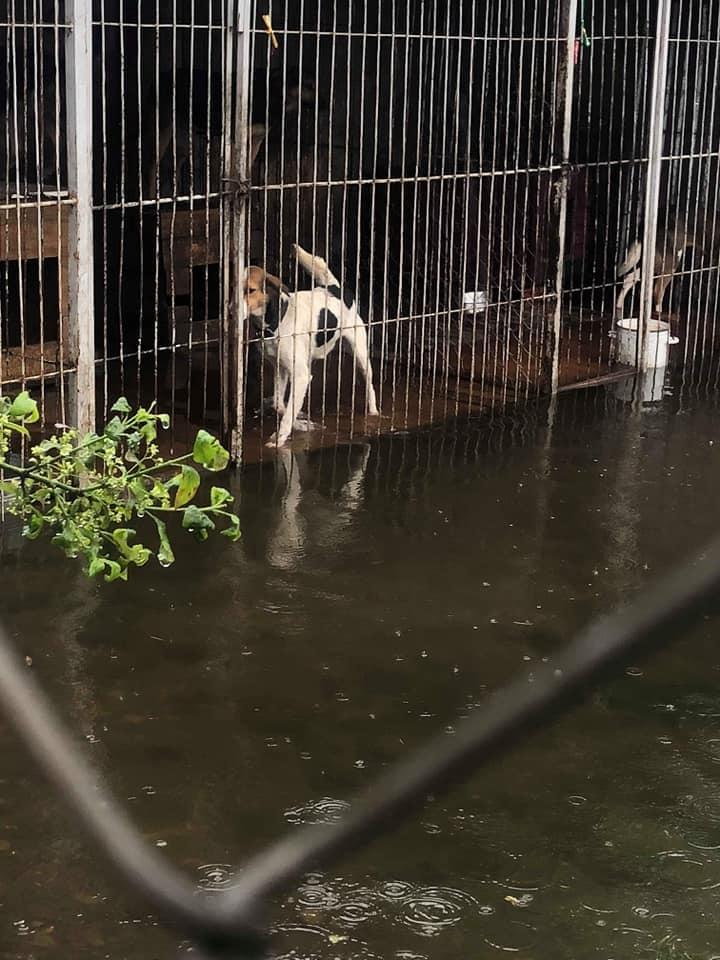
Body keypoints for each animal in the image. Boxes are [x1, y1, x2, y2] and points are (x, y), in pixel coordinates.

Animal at [245, 244, 380, 446]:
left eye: (251, 290)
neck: (278, 319)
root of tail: (334, 287)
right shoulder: (280, 367)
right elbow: (279, 404)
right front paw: (300, 422)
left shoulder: (301, 376)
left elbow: (288, 412)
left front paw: (280, 438)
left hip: (361, 354)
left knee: (370, 384)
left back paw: (373, 411)